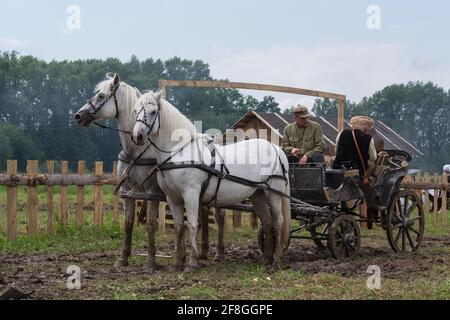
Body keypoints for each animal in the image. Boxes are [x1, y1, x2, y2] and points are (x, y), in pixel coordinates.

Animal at [75, 73, 227, 270]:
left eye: (101, 96)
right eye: (135, 111)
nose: (78, 115)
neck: (137, 151)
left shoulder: (152, 192)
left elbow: (151, 224)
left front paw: (151, 261)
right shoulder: (127, 191)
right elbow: (128, 223)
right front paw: (123, 258)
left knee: (219, 216)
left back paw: (218, 253)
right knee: (202, 217)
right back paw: (202, 253)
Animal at [130, 90, 292, 270]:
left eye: (153, 112)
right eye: (135, 110)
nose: (137, 136)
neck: (179, 152)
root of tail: (277, 149)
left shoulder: (191, 194)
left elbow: (192, 225)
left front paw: (192, 262)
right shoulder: (172, 198)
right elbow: (179, 228)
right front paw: (179, 262)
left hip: (274, 193)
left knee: (278, 222)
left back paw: (276, 260)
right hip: (258, 194)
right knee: (267, 221)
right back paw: (266, 259)